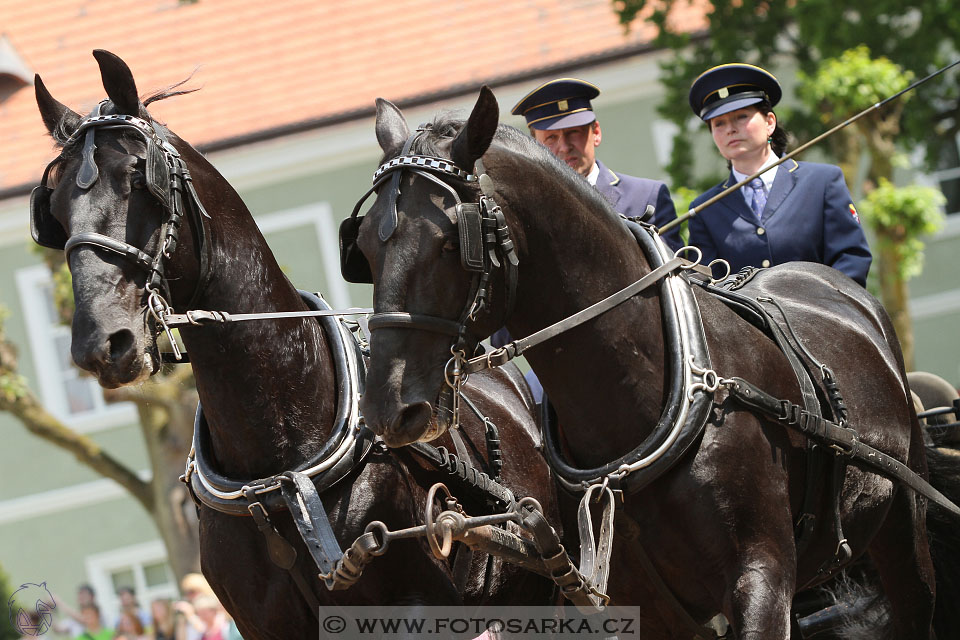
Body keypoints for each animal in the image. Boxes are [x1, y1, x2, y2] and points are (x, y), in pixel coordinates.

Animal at [35, 52, 556, 636]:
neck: (279, 474)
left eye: (135, 177)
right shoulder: (263, 622)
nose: (100, 343)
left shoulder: (417, 606)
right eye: (54, 209)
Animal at [354, 86, 960, 640]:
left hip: (902, 533)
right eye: (363, 247)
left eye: (451, 242)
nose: (387, 407)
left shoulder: (761, 578)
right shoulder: (641, 603)